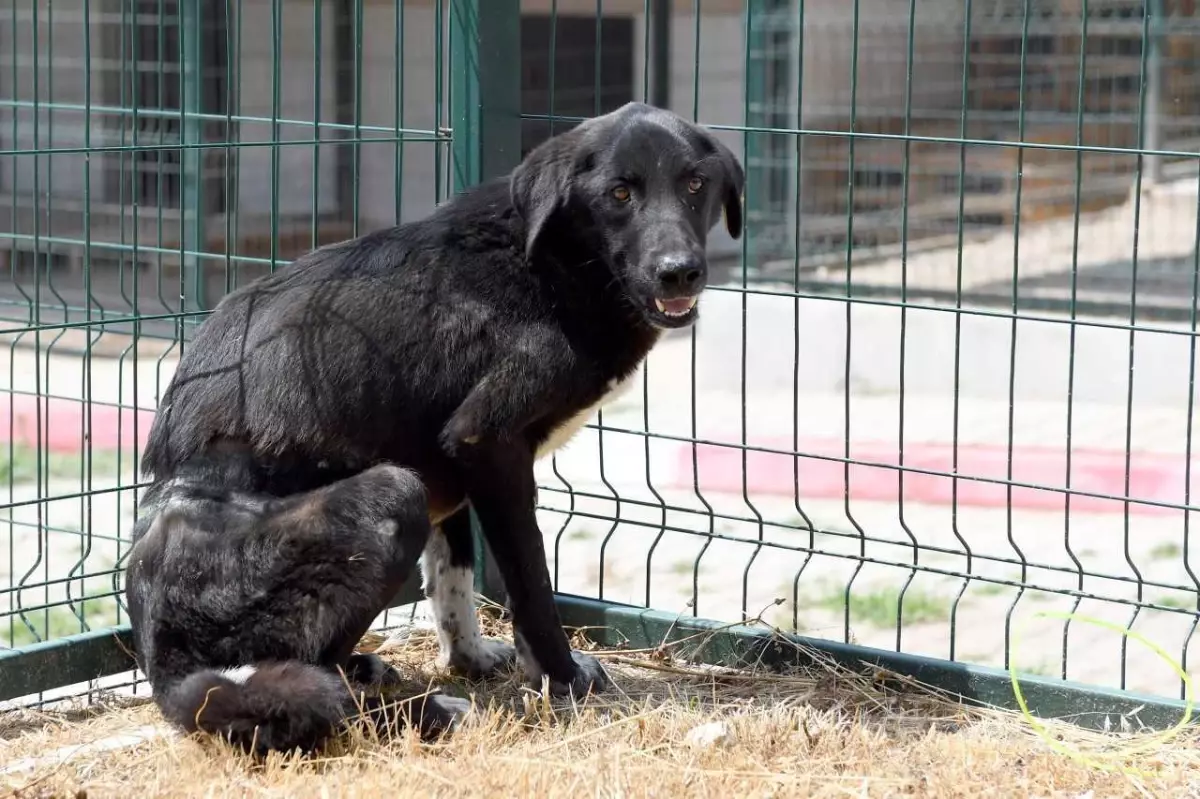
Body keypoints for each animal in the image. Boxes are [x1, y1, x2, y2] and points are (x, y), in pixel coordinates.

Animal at [124, 101, 739, 753]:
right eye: (620, 193)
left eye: (694, 184)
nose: (679, 273)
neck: (550, 261)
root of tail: (162, 657)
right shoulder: (487, 441)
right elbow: (530, 585)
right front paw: (561, 679)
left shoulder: (453, 460)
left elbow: (453, 575)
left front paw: (471, 659)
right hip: (392, 494)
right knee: (311, 690)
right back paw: (428, 711)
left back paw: (376, 672)